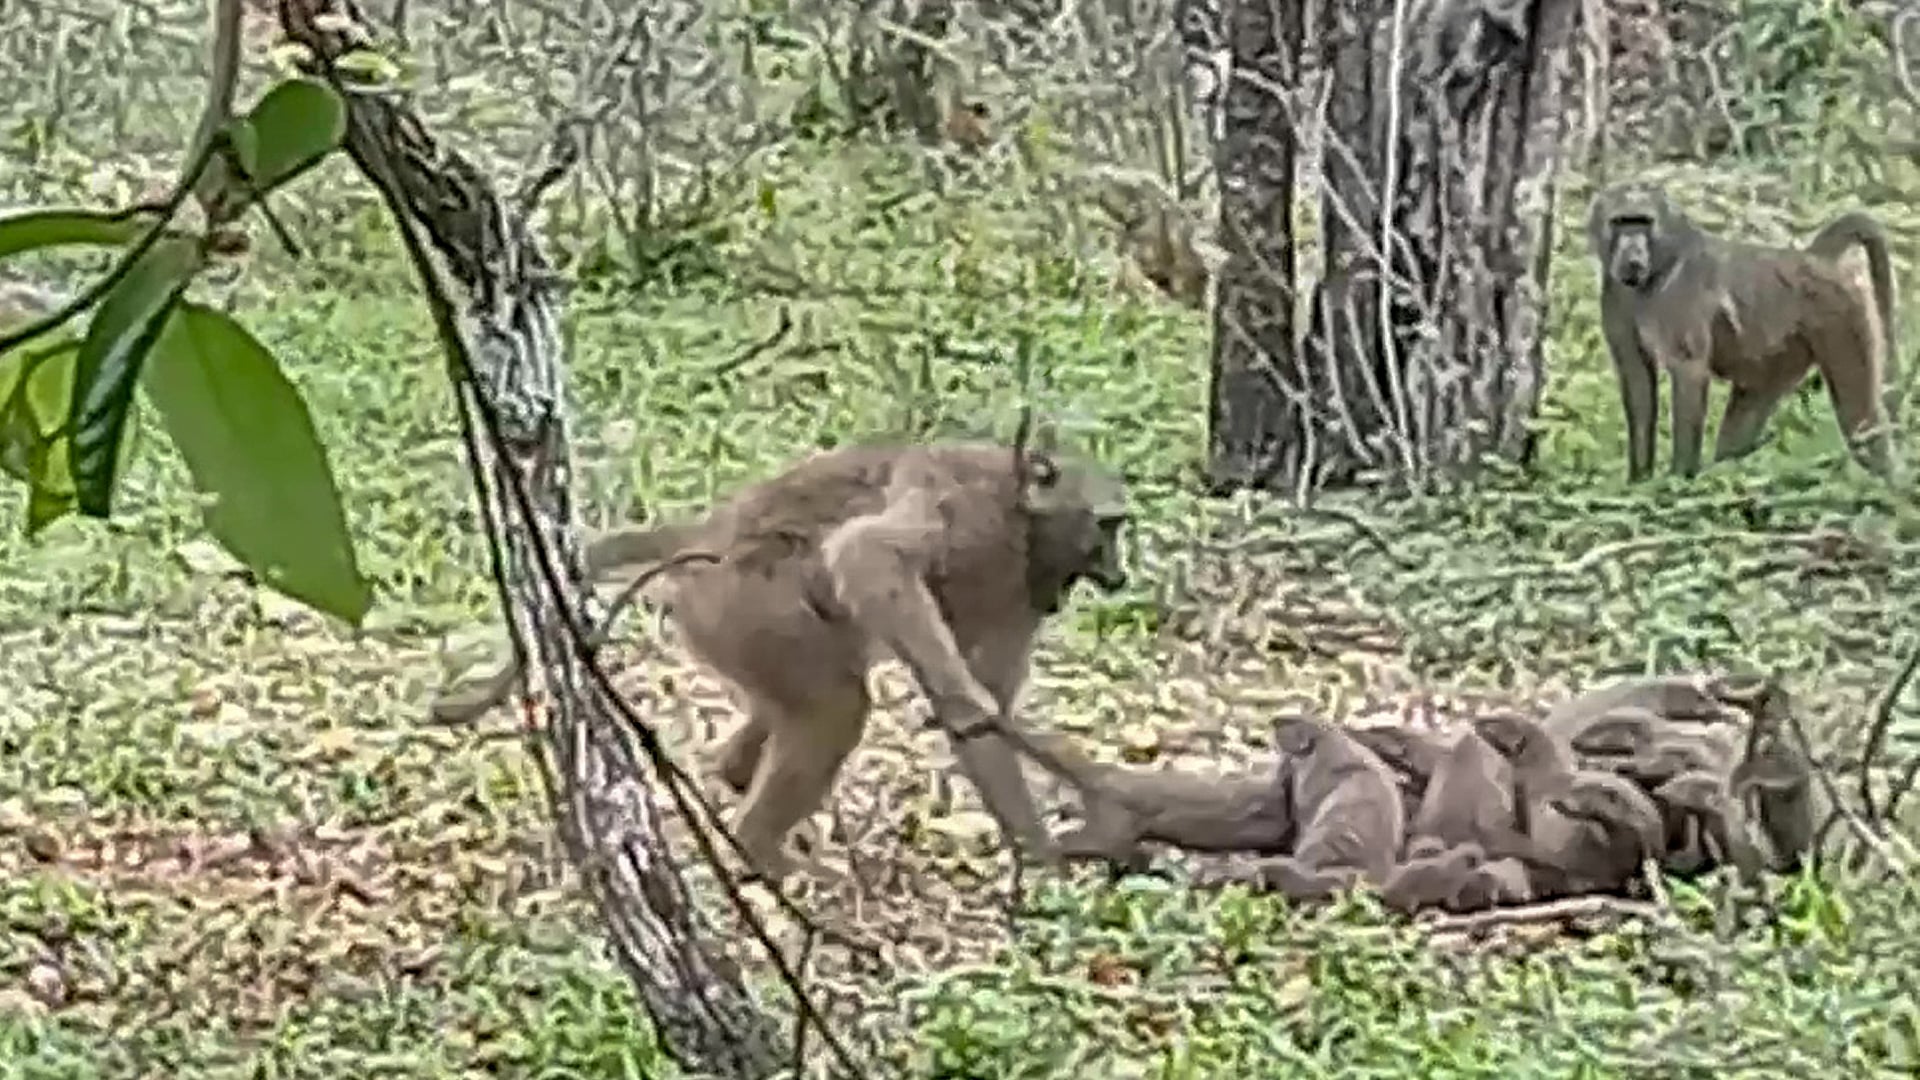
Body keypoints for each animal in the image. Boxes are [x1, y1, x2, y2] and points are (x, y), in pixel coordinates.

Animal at [427, 434, 1131, 884]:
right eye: (1110, 526)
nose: (1119, 573)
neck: (1021, 518)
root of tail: (706, 537)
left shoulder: (1021, 595)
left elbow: (982, 720)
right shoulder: (969, 514)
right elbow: (869, 553)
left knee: (806, 697)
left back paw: (738, 777)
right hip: (743, 604)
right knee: (836, 705)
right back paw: (760, 847)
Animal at [1587, 182, 1899, 481]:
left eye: (1642, 222)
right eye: (1621, 222)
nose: (1632, 257)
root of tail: (1816, 257)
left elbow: (1689, 372)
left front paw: (1679, 479)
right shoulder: (1615, 297)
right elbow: (1638, 382)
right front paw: (1639, 481)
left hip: (1842, 313)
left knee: (1860, 420)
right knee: (1745, 418)